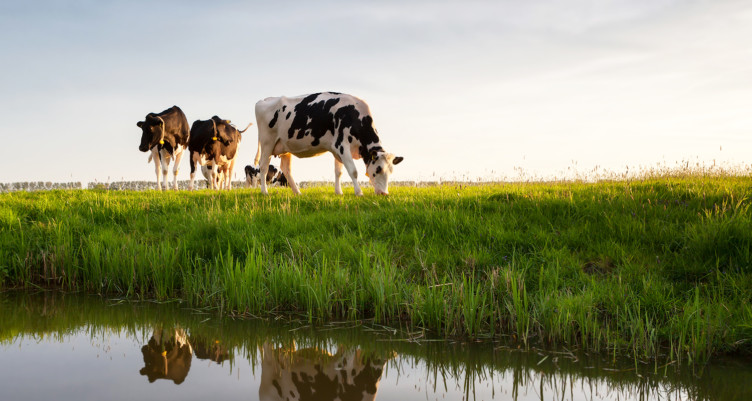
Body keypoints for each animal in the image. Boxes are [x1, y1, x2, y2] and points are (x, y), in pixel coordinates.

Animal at [254, 92, 403, 196]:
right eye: (378, 169)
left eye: (391, 171)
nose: (384, 194)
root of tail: (264, 99)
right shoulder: (342, 145)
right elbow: (353, 171)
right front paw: (359, 192)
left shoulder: (337, 149)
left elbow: (339, 171)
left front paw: (339, 192)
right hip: (267, 142)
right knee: (263, 167)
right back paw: (265, 192)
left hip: (285, 147)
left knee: (286, 169)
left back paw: (297, 192)